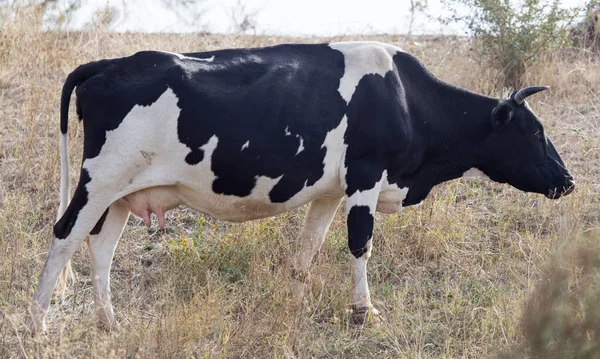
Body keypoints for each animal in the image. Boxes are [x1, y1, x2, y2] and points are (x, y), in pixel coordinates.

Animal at [27, 41, 572, 332]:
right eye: (535, 131)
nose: (568, 181)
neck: (404, 98)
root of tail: (107, 63)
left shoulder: (331, 191)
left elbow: (307, 251)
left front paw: (296, 303)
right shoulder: (365, 177)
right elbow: (360, 245)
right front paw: (364, 311)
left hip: (122, 193)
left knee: (100, 248)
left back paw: (111, 324)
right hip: (100, 180)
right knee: (64, 236)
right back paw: (39, 325)